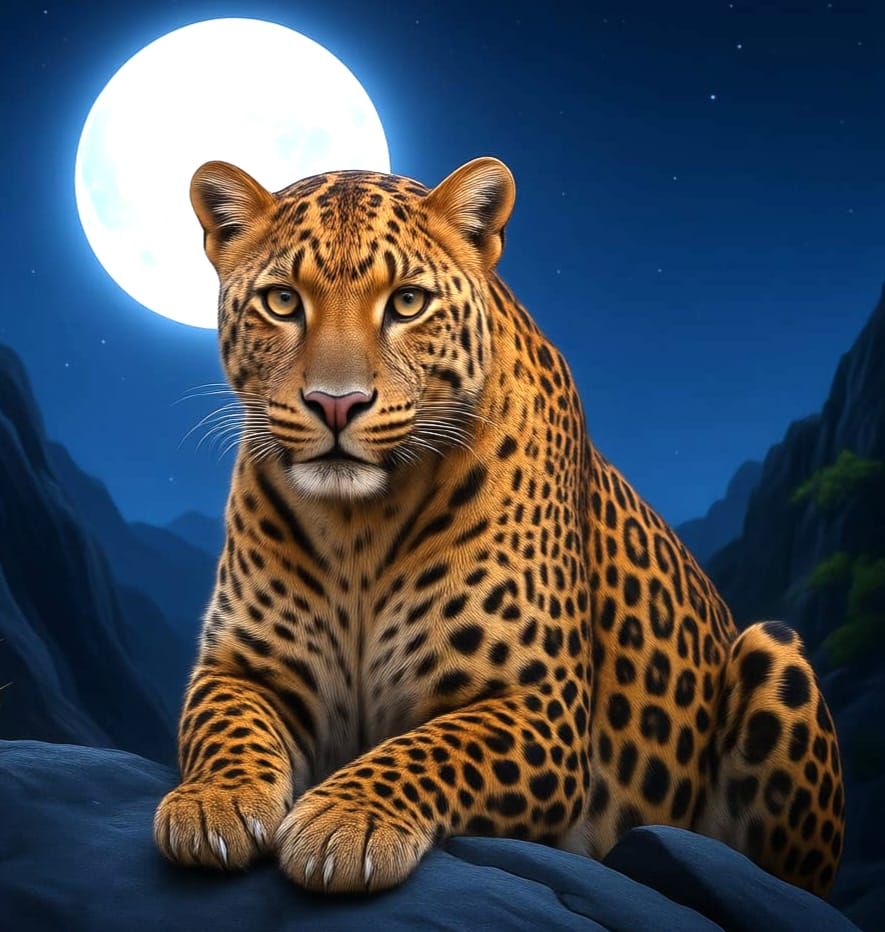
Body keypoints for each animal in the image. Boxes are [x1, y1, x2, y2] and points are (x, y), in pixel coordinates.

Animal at [153, 155, 845, 898]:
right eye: (283, 301)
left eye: (407, 302)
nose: (336, 405)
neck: (358, 527)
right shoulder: (244, 665)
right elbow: (223, 726)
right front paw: (212, 802)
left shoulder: (539, 704)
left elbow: (429, 748)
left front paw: (346, 819)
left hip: (774, 652)